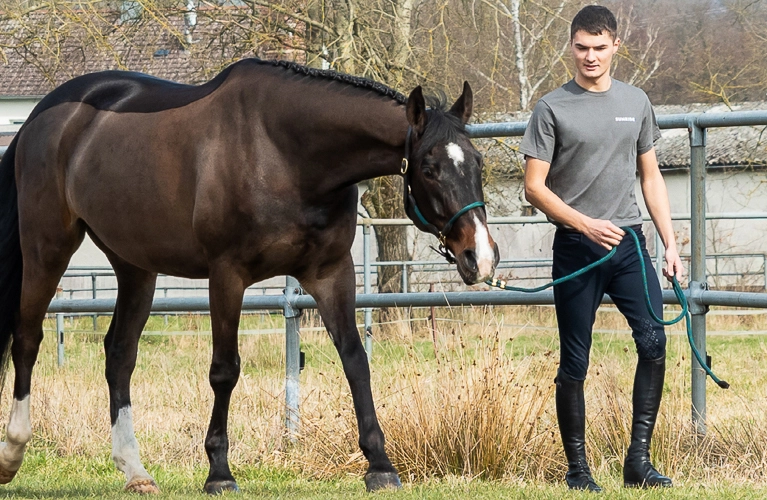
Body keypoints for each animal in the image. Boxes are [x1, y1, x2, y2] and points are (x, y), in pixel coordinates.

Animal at [0, 59, 499, 494]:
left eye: (478, 162)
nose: (480, 256)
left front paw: (379, 466)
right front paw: (219, 473)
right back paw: (13, 452)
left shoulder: (331, 273)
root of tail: (41, 117)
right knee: (27, 340)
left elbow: (356, 360)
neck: (284, 152)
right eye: (429, 168)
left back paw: (135, 471)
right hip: (47, 248)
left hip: (135, 264)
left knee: (119, 355)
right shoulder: (227, 275)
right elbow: (225, 370)